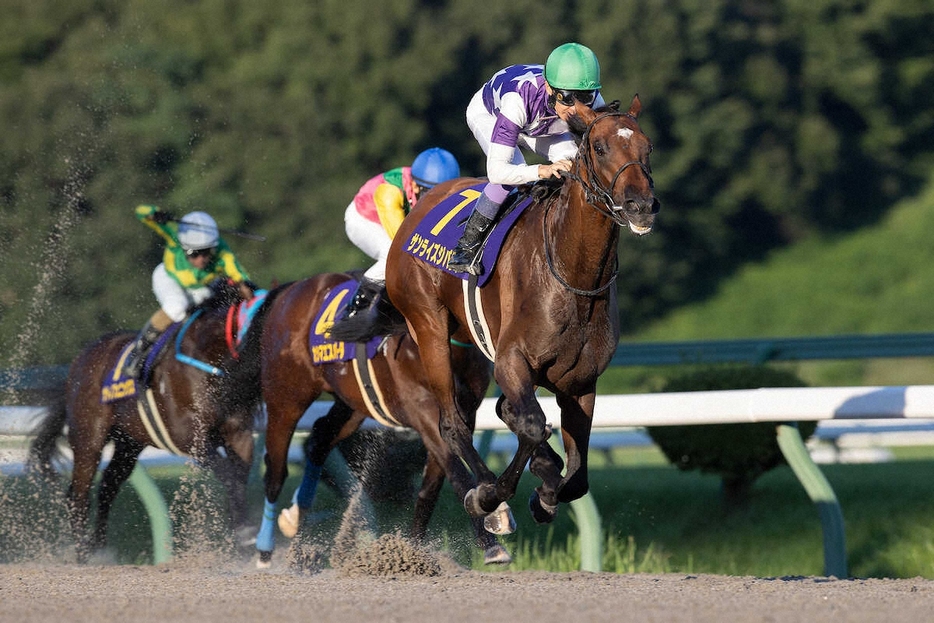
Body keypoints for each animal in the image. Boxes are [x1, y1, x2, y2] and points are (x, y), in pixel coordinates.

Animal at [29, 280, 264, 564]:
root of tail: (78, 362)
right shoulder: (189, 437)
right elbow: (229, 474)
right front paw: (244, 534)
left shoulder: (239, 435)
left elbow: (238, 479)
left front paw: (242, 538)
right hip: (89, 438)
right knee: (78, 494)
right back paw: (85, 554)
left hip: (129, 443)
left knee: (107, 486)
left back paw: (99, 547)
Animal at [243, 276, 512, 568]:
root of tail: (290, 289)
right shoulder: (425, 413)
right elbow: (458, 476)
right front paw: (491, 542)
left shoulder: (464, 414)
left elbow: (430, 490)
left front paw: (414, 551)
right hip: (286, 400)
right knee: (275, 472)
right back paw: (264, 553)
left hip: (352, 404)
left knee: (320, 437)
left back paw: (296, 513)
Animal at [384, 96, 660, 528]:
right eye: (600, 148)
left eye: (648, 148)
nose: (642, 206)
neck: (571, 273)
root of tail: (420, 206)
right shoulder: (511, 361)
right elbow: (531, 426)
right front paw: (494, 495)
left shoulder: (581, 382)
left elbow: (576, 476)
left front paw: (546, 493)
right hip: (428, 327)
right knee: (453, 423)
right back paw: (487, 499)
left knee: (503, 413)